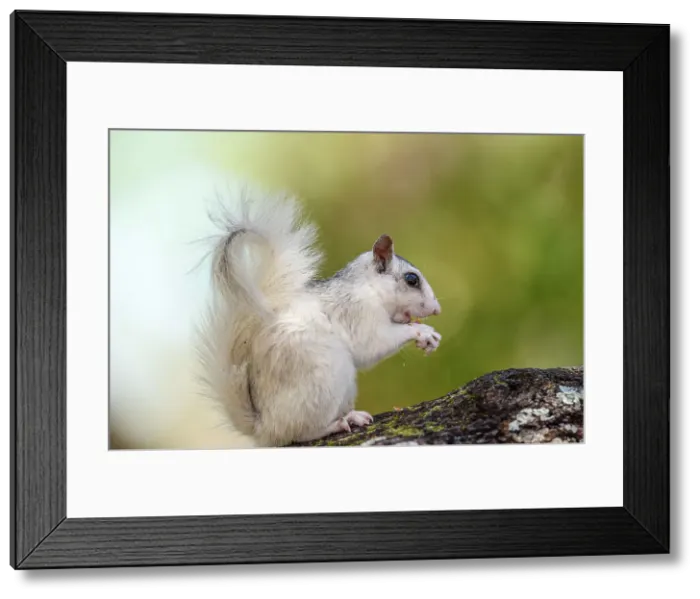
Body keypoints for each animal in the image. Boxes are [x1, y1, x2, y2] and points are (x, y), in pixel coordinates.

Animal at [195, 187, 442, 448]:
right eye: (411, 279)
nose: (437, 309)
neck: (368, 288)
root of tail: (263, 428)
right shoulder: (356, 312)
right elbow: (372, 344)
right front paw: (423, 332)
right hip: (323, 379)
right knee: (297, 433)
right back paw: (339, 423)